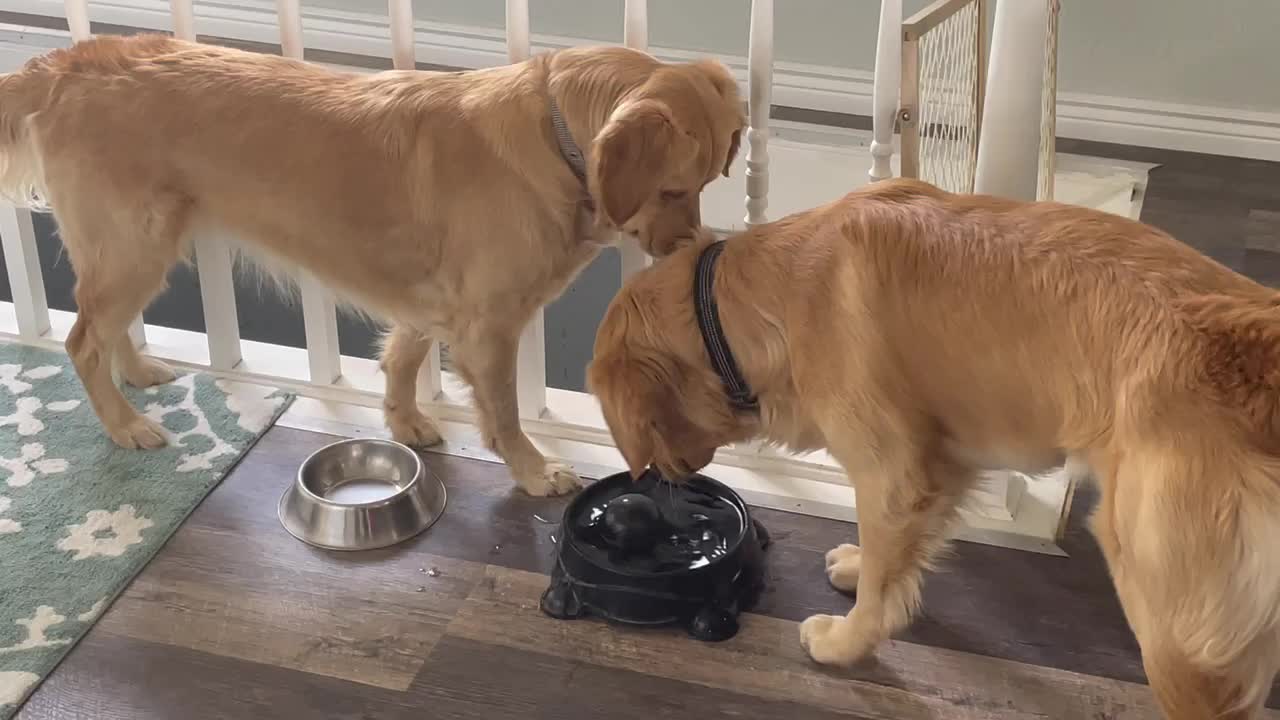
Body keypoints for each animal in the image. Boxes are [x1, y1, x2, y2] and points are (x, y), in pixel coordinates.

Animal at [0, 33, 742, 491]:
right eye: (672, 189)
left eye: (709, 182)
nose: (688, 248)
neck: (552, 140)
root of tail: (62, 63)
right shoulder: (488, 325)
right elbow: (503, 412)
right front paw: (533, 470)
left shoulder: (434, 300)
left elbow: (404, 357)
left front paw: (404, 422)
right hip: (134, 244)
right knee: (81, 337)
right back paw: (124, 423)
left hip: (137, 249)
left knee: (106, 326)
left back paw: (135, 373)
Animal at [586, 176, 1280, 712]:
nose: (660, 481)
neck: (753, 302)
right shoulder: (939, 463)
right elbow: (889, 558)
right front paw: (858, 566)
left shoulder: (892, 472)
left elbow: (880, 582)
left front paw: (844, 643)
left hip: (1174, 624)